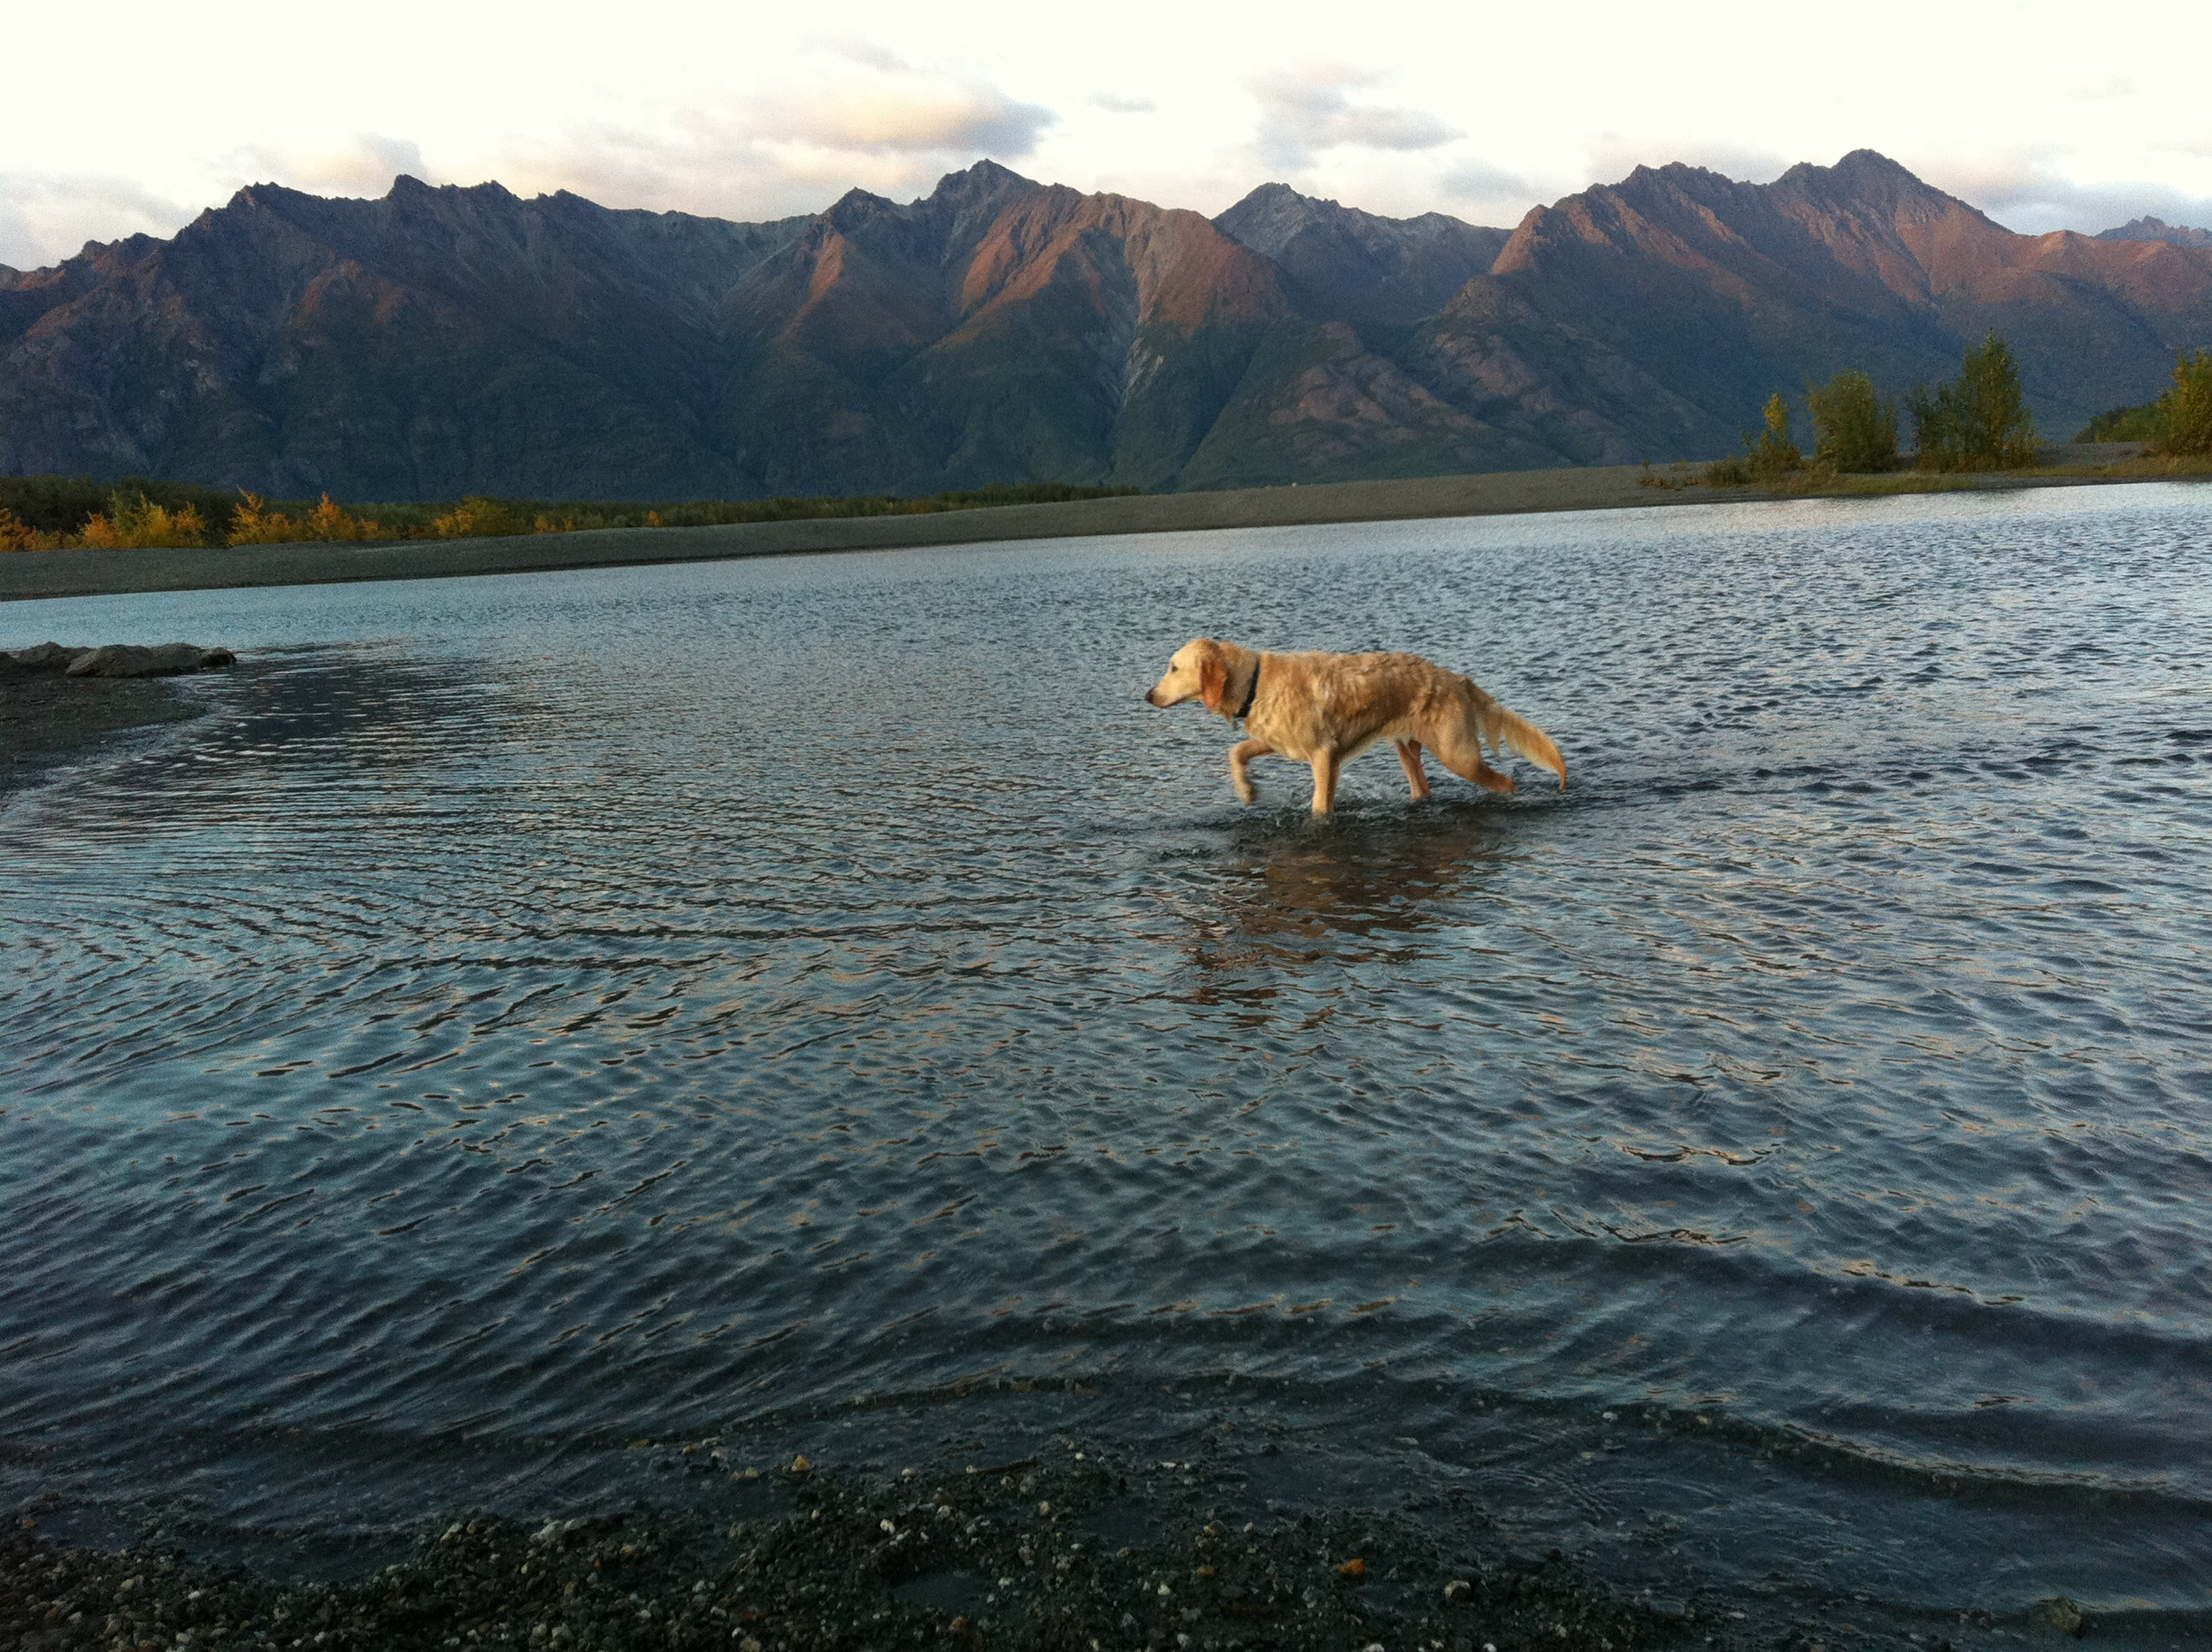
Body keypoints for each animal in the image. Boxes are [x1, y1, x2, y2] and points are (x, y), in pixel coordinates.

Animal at [1150, 632, 1566, 813]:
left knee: (1505, 783)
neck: (1255, 681)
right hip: (1406, 749)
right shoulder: (1280, 741)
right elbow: (1237, 752)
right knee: (1423, 788)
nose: (1147, 695)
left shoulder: (1323, 755)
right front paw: (1248, 791)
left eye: (1174, 668)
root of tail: (1456, 678)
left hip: (1457, 755)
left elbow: (1320, 806)